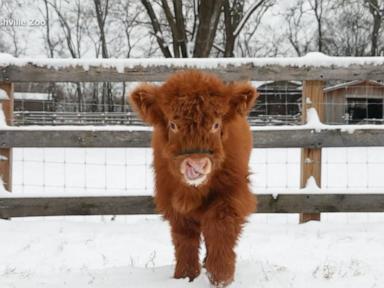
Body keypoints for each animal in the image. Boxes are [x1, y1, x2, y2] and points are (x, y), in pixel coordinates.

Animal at [129, 69, 258, 286]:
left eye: (216, 124)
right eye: (173, 124)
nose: (196, 165)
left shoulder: (232, 194)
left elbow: (220, 228)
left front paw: (221, 276)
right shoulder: (172, 200)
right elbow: (184, 238)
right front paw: (184, 276)